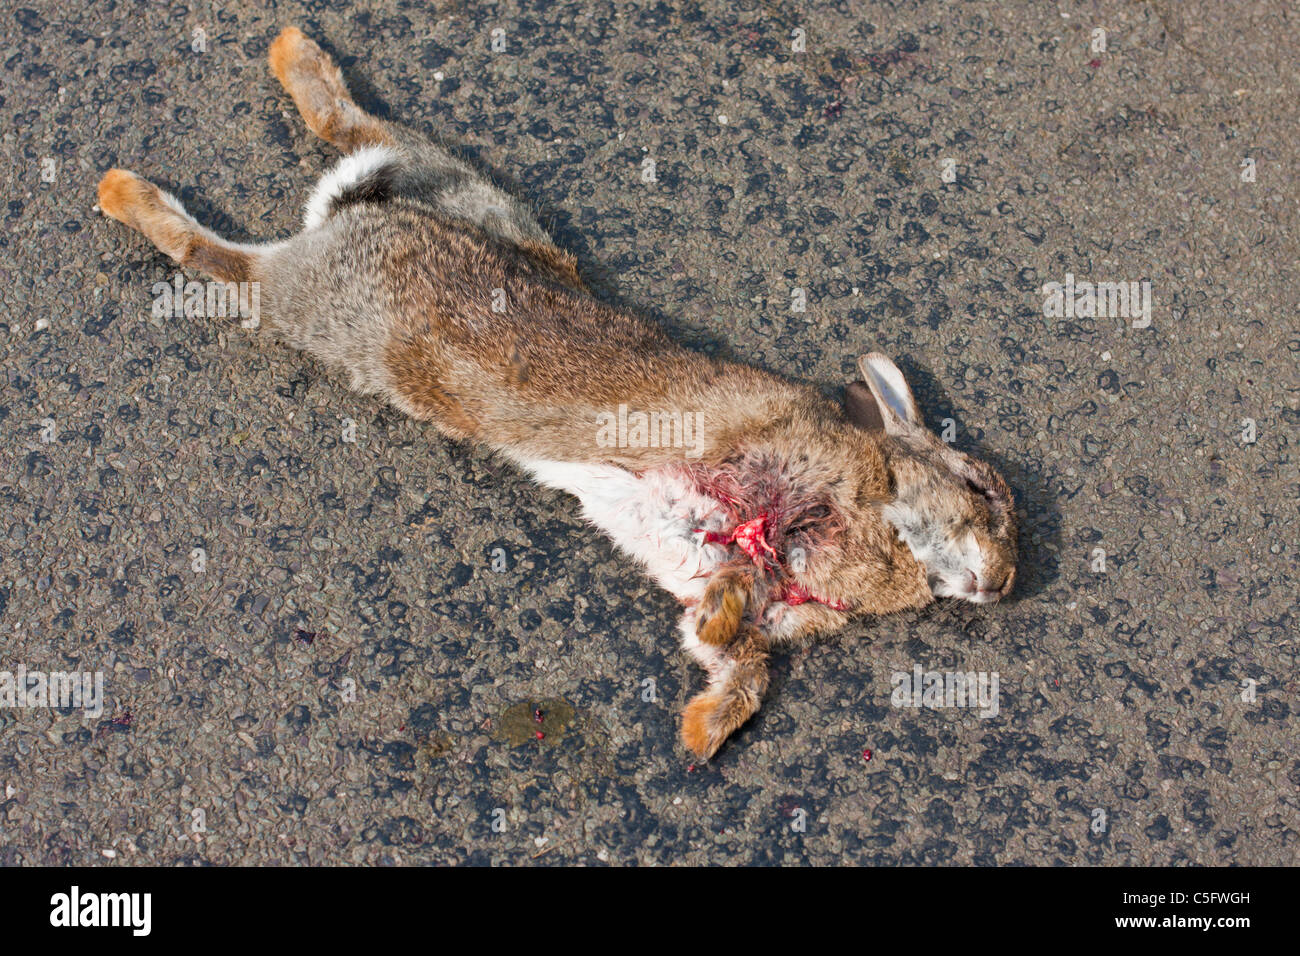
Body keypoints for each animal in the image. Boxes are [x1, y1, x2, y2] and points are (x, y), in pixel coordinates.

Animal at [96, 27, 1018, 760]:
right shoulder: (778, 483)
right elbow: (744, 590)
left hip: (452, 188)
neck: (883, 504)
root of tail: (351, 217)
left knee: (353, 127)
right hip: (317, 308)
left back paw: (291, 57)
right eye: (979, 490)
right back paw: (129, 192)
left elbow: (741, 664)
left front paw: (701, 729)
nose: (1007, 583)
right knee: (218, 261)